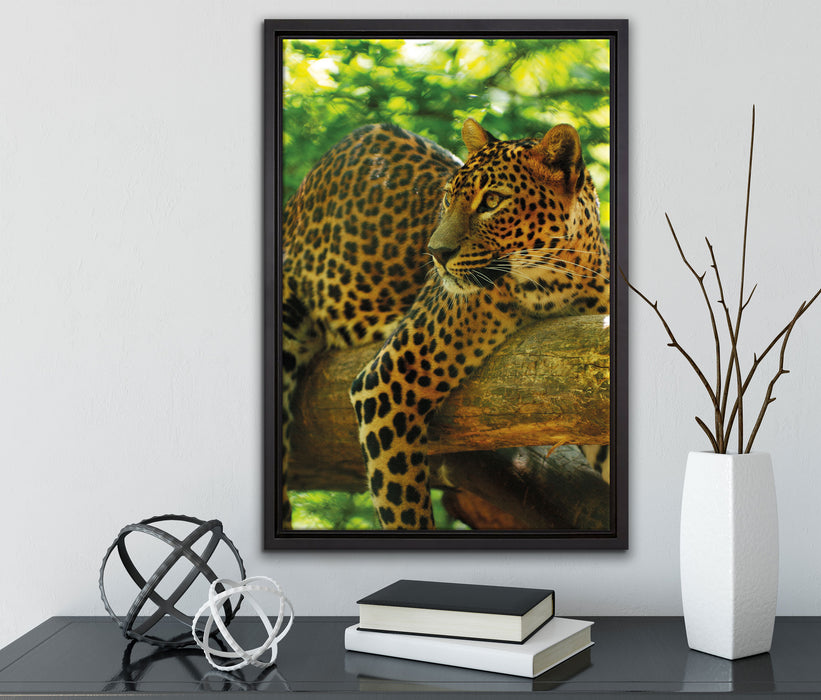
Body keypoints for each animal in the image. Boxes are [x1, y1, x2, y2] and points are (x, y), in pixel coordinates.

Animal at [281, 118, 610, 530]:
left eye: (492, 201)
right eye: (447, 199)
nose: (436, 253)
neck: (558, 283)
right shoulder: (386, 381)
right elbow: (403, 505)